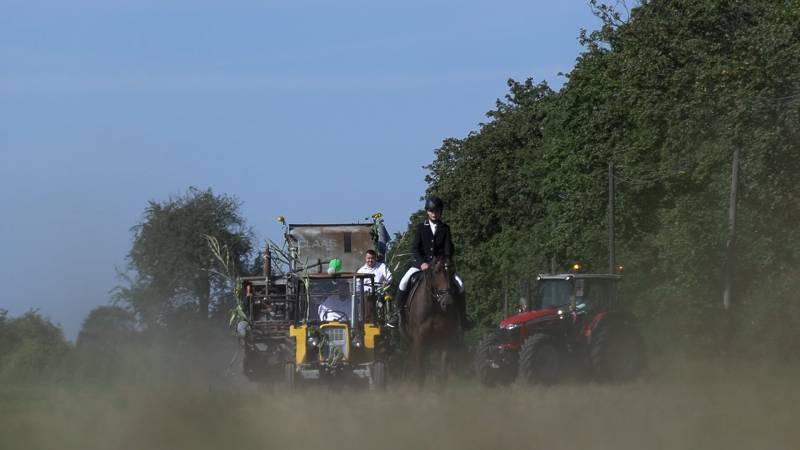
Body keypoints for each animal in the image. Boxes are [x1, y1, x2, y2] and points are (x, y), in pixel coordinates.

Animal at [404, 256, 460, 386]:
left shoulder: (445, 339)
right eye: (436, 272)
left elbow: (442, 374)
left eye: (452, 272)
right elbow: (420, 373)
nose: (447, 303)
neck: (433, 308)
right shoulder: (419, 340)